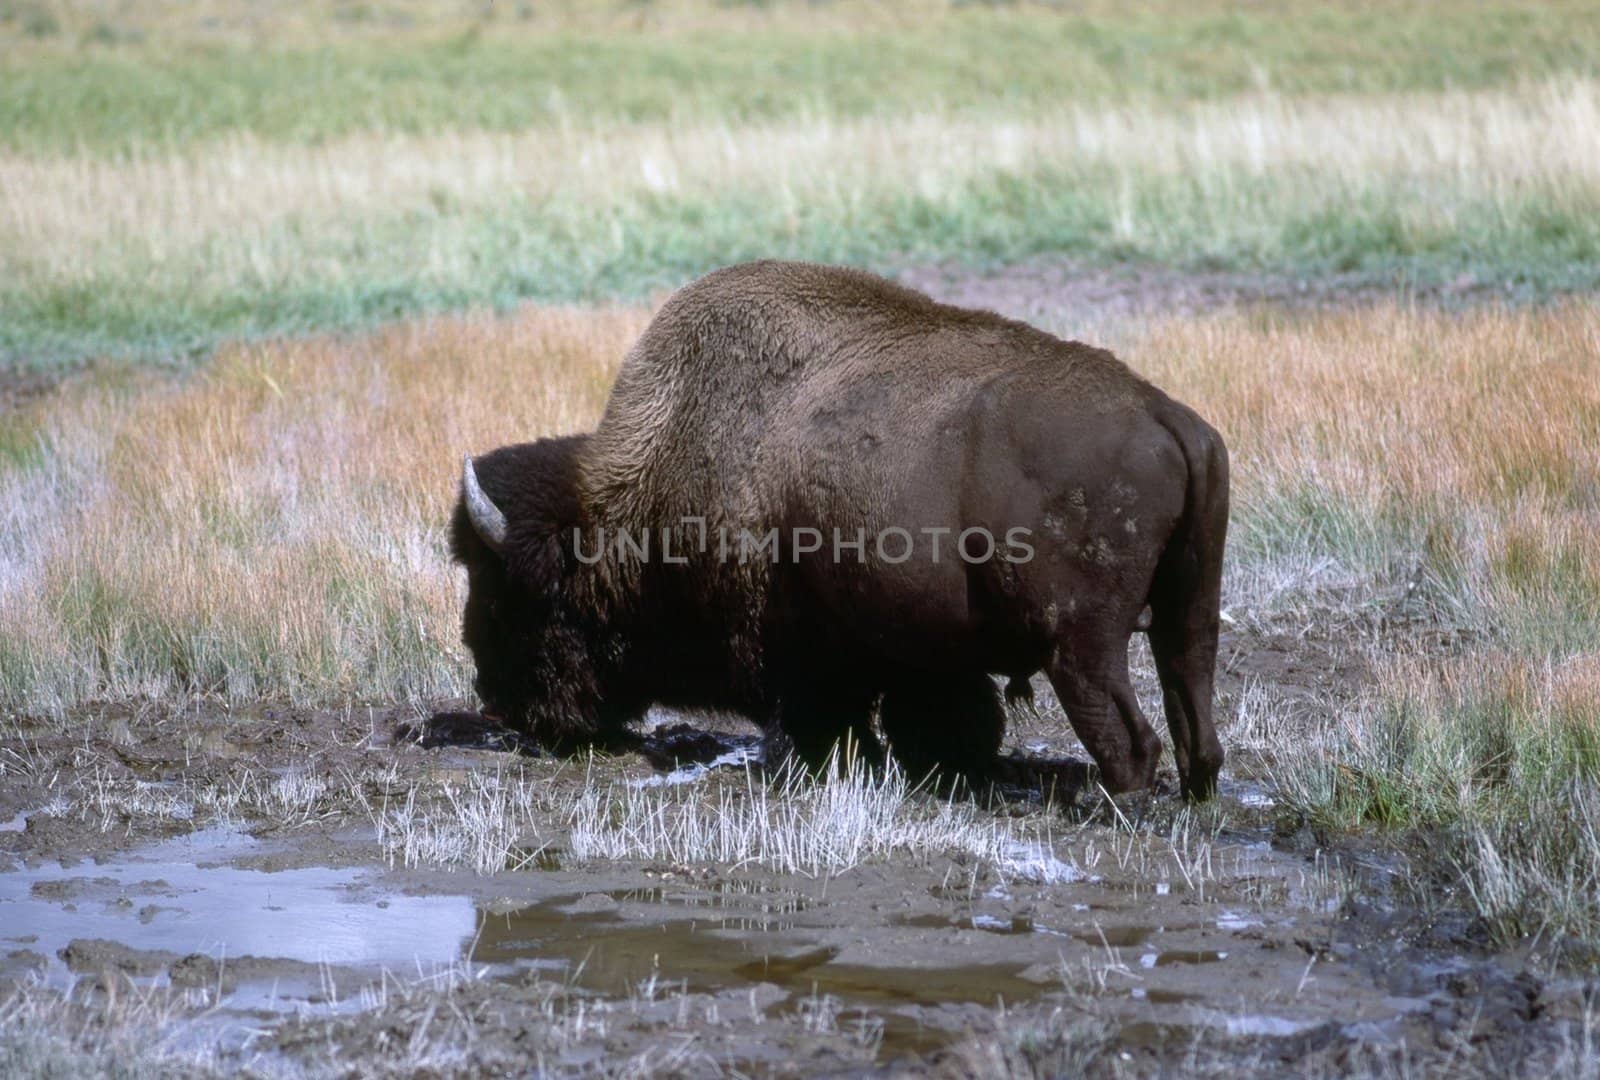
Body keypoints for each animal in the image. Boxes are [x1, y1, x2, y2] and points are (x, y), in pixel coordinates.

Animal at [457, 262, 1228, 803]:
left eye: (507, 594)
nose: (498, 699)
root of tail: (1167, 416)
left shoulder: (808, 650)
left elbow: (831, 713)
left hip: (1081, 644)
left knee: (1127, 731)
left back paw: (1116, 801)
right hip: (1189, 608)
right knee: (1190, 695)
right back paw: (1195, 792)